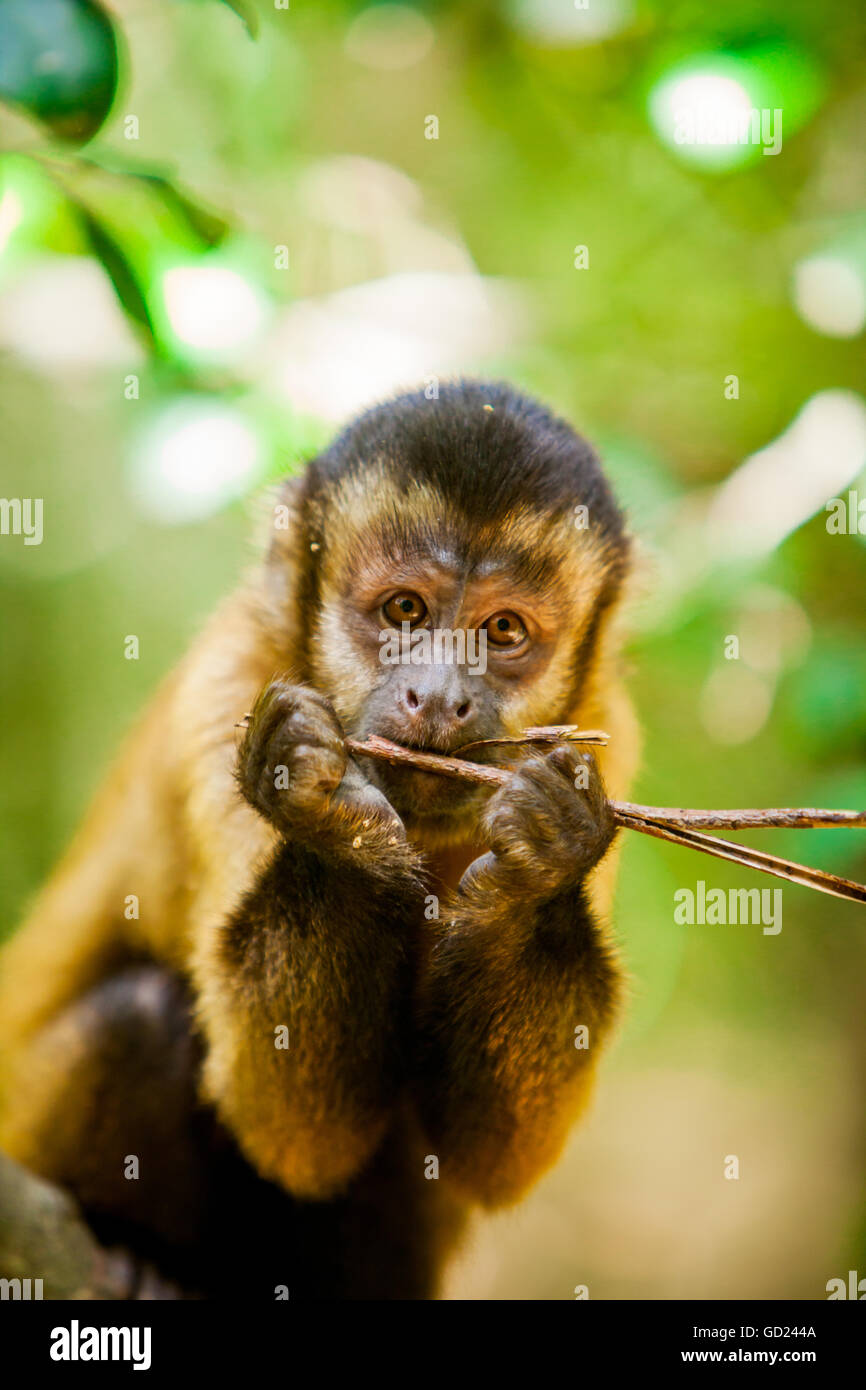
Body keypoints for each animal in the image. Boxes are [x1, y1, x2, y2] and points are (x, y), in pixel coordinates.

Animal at [0, 383, 636, 1301]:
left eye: (504, 631)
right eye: (404, 610)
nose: (437, 696)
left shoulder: (606, 734)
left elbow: (493, 1158)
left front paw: (544, 864)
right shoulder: (228, 687)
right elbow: (290, 1129)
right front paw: (335, 822)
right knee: (140, 1018)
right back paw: (131, 1248)